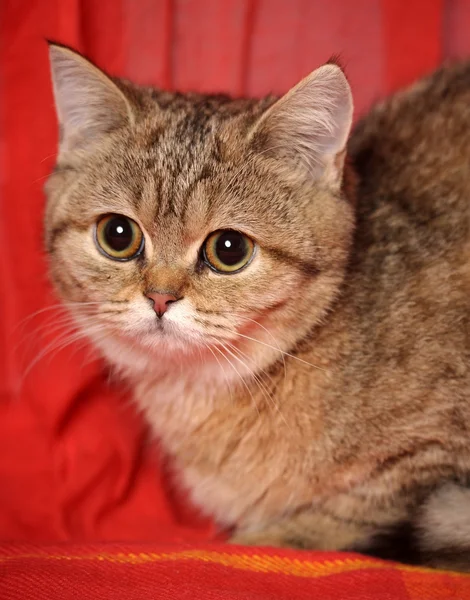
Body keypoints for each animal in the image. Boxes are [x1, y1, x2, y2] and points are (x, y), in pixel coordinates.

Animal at [45, 43, 470, 572]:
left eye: (229, 249)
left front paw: (266, 538)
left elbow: (344, 516)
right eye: (117, 235)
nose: (160, 297)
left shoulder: (432, 452)